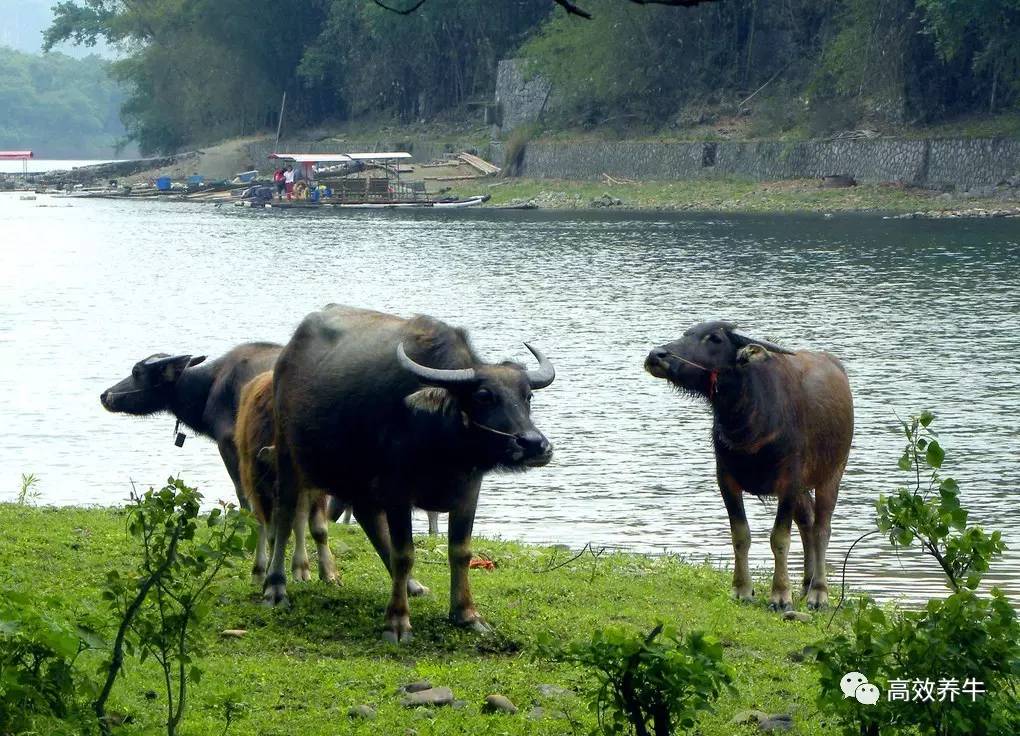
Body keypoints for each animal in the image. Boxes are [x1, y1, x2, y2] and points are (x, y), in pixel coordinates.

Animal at [259, 303, 554, 636]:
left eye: (527, 396)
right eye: (483, 396)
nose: (534, 444)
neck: (442, 443)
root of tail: (286, 358)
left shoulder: (468, 492)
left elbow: (461, 552)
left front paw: (467, 613)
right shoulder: (397, 491)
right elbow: (405, 554)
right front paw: (397, 620)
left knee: (367, 518)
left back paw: (412, 586)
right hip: (288, 455)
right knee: (285, 515)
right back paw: (275, 587)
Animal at [644, 322, 852, 607]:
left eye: (715, 338)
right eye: (687, 333)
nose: (657, 355)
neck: (749, 420)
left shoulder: (789, 481)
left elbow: (779, 538)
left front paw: (780, 595)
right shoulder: (726, 479)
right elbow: (740, 536)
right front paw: (742, 589)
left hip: (831, 475)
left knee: (822, 529)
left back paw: (818, 593)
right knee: (807, 522)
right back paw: (806, 584)